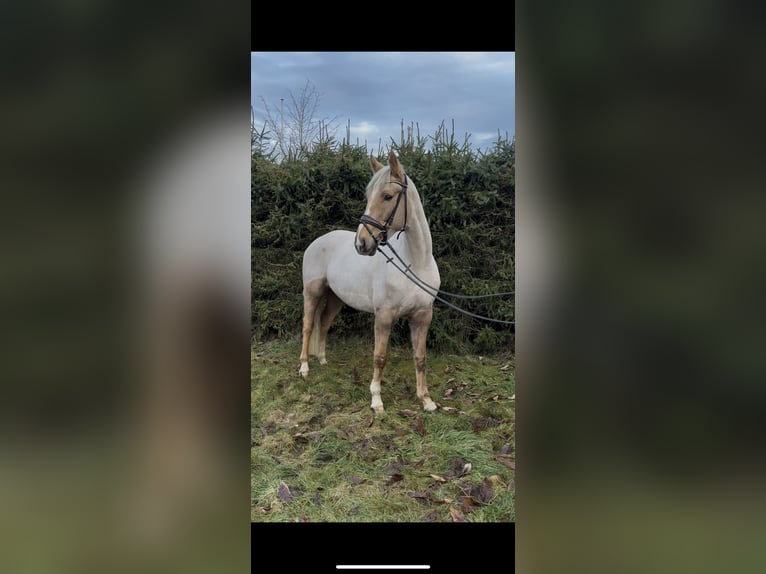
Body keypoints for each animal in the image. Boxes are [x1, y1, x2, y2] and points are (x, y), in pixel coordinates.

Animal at [298, 150, 440, 413]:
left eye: (387, 196)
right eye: (368, 196)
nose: (361, 243)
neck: (414, 264)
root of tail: (317, 241)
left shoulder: (423, 316)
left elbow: (420, 358)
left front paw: (426, 400)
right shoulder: (384, 317)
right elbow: (380, 357)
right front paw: (376, 401)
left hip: (335, 298)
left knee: (323, 323)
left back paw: (322, 359)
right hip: (312, 293)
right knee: (308, 326)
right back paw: (304, 368)